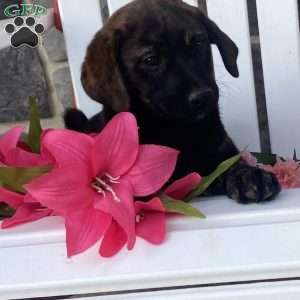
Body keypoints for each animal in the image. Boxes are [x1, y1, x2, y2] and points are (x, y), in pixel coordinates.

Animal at [63, 0, 282, 204]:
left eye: (199, 42)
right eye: (151, 60)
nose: (203, 96)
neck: (176, 129)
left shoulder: (222, 152)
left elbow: (230, 166)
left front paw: (250, 176)